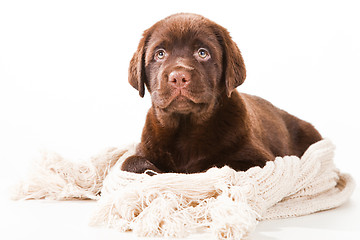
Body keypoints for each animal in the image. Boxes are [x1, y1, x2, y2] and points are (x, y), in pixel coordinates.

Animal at [122, 13, 322, 173]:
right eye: (160, 54)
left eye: (202, 53)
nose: (178, 77)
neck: (185, 127)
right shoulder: (143, 149)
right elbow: (129, 163)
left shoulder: (259, 159)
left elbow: (216, 166)